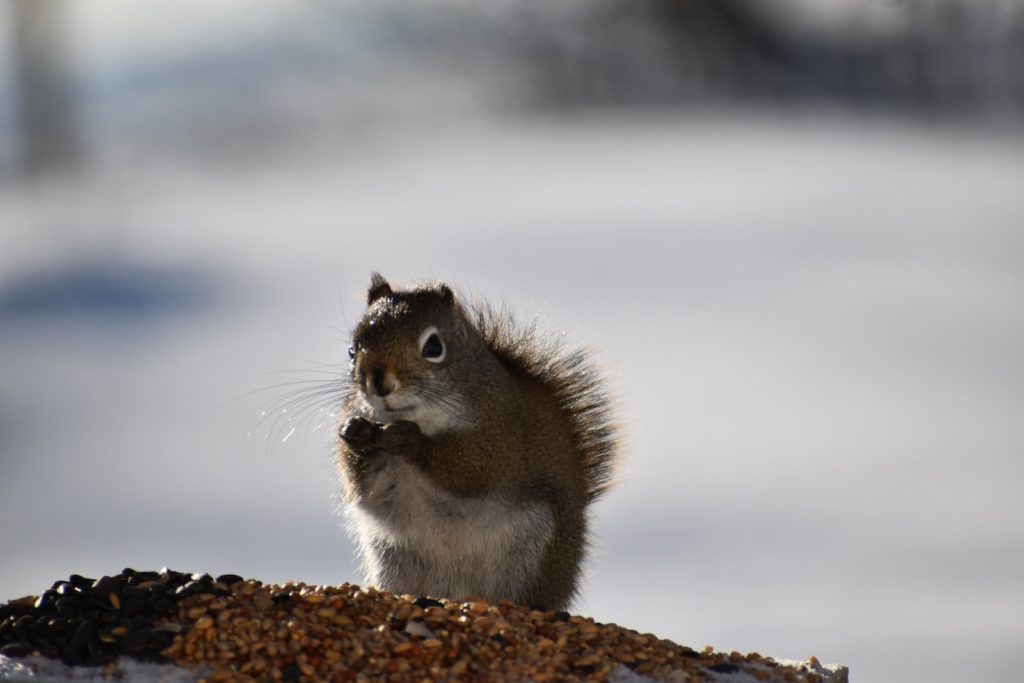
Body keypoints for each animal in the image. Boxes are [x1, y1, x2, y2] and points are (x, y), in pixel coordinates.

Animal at [339, 272, 618, 610]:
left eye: (434, 346)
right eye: (352, 350)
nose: (379, 383)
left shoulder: (501, 435)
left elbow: (470, 470)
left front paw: (408, 439)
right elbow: (361, 484)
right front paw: (355, 434)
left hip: (532, 557)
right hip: (390, 557)